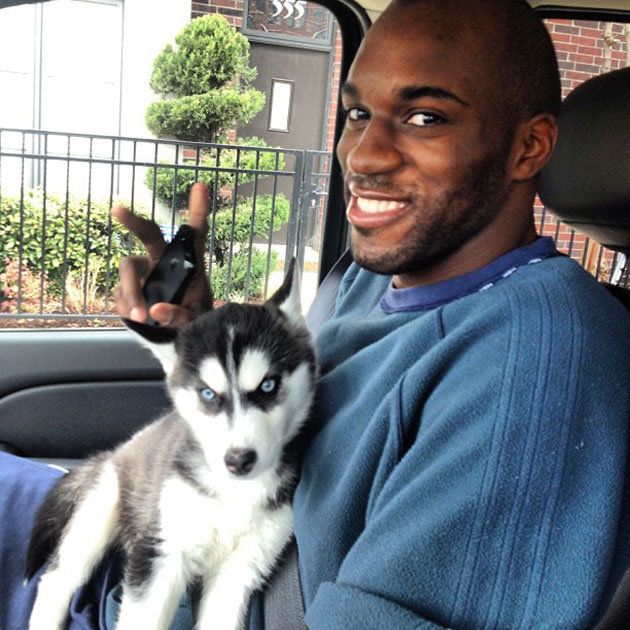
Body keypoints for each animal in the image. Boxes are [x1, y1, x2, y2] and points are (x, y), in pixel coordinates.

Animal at [27, 262, 318, 630]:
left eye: (268, 385)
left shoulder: (241, 569)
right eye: (207, 393)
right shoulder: (161, 553)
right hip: (100, 509)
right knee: (59, 577)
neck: (232, 494)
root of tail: (114, 453)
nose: (238, 460)